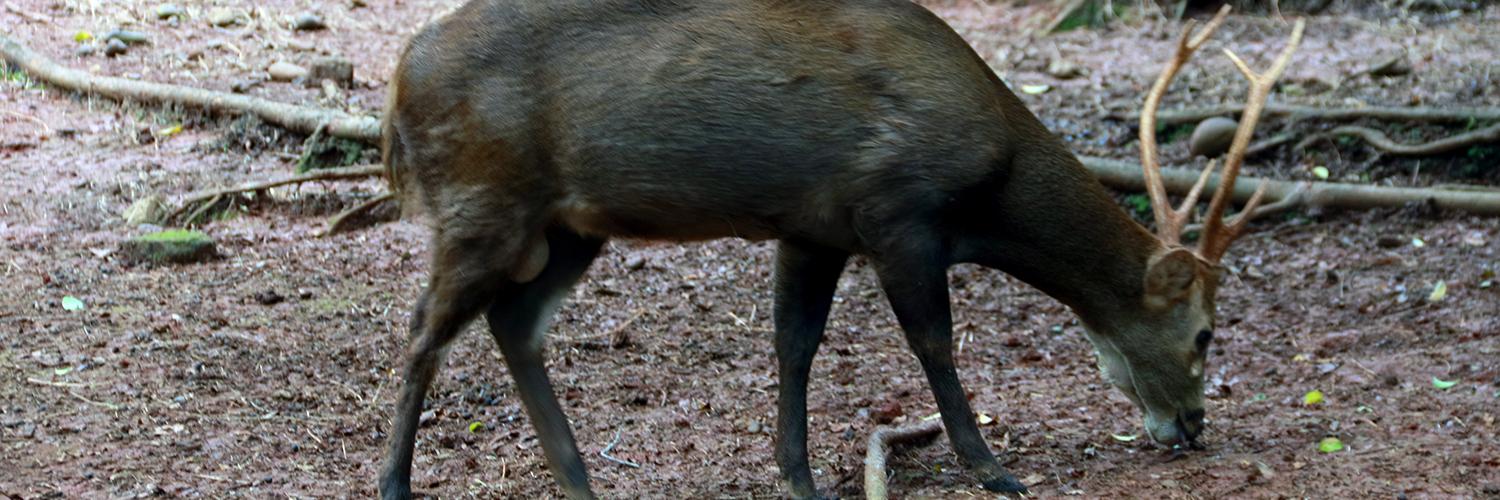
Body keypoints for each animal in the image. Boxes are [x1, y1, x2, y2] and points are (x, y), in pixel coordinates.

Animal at [375, 1, 1302, 498]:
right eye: (1206, 332)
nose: (1192, 427)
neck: (990, 183)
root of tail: (397, 78)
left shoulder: (812, 227)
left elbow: (795, 344)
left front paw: (797, 472)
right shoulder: (897, 209)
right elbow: (933, 342)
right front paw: (991, 466)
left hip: (568, 226)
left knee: (513, 323)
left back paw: (577, 476)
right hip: (481, 199)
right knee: (422, 330)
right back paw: (395, 482)